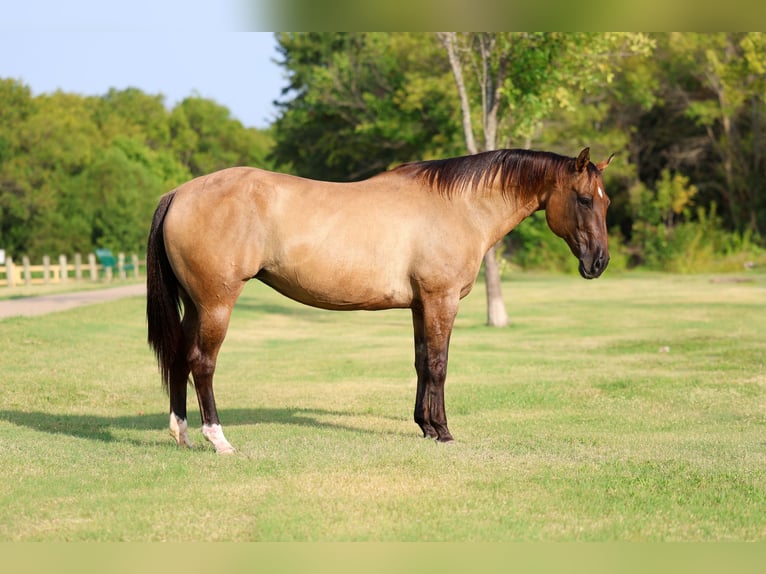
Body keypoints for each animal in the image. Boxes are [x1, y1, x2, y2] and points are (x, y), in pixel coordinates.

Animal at [146, 147, 613, 454]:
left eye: (605, 200)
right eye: (584, 199)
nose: (599, 262)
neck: (457, 206)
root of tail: (179, 193)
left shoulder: (421, 306)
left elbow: (422, 362)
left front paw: (425, 427)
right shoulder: (442, 300)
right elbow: (439, 365)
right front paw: (443, 432)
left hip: (195, 306)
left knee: (180, 357)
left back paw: (181, 433)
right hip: (216, 305)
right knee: (203, 364)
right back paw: (217, 438)